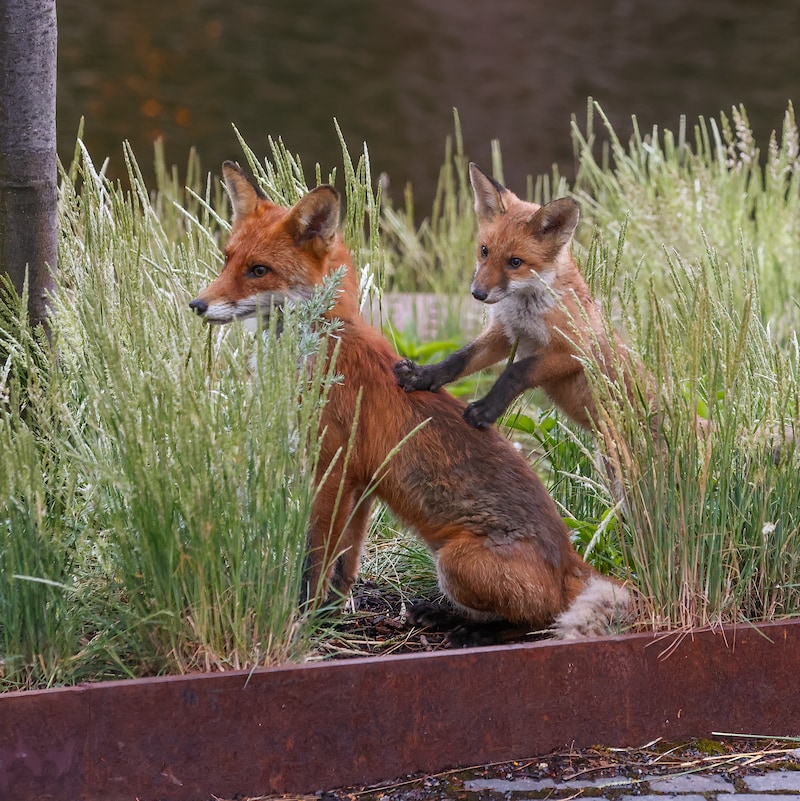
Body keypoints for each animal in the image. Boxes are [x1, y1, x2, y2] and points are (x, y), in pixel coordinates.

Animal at [394, 162, 632, 432]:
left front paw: (486, 409)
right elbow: (459, 358)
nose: (478, 293)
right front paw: (423, 375)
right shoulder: (507, 334)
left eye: (515, 262)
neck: (525, 310)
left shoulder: (576, 350)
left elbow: (516, 371)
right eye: (484, 251)